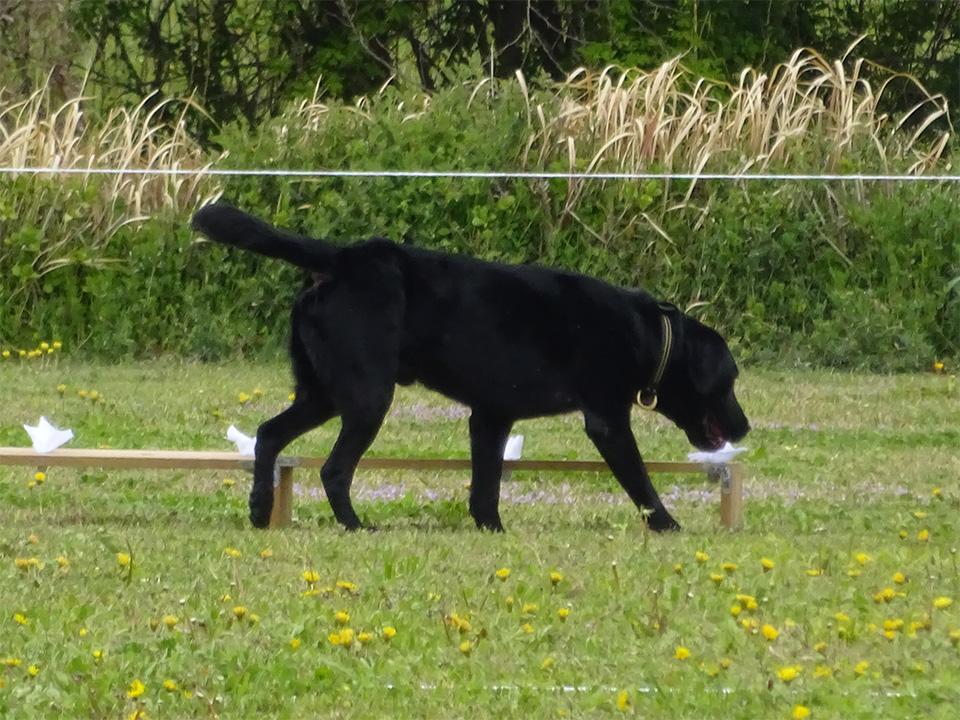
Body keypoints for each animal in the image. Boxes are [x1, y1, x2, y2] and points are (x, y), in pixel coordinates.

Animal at [193, 205, 752, 532]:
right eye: (728, 381)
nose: (746, 426)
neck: (650, 334)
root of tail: (343, 257)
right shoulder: (608, 422)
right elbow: (640, 482)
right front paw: (667, 525)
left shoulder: (490, 418)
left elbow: (486, 488)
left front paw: (492, 530)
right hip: (367, 397)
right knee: (333, 469)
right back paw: (355, 525)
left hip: (321, 393)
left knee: (268, 434)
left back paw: (261, 509)